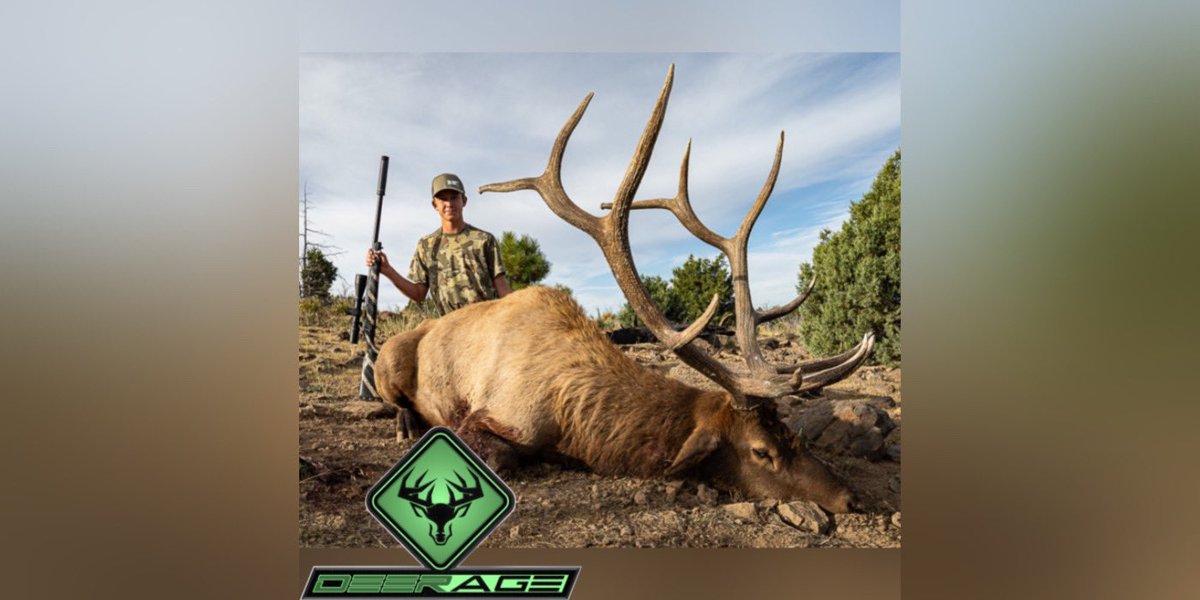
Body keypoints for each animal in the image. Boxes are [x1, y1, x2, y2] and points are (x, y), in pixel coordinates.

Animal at [374, 65, 876, 514]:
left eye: (794, 433)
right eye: (761, 450)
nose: (852, 498)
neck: (574, 422)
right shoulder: (486, 417)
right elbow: (500, 455)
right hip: (388, 362)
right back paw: (404, 423)